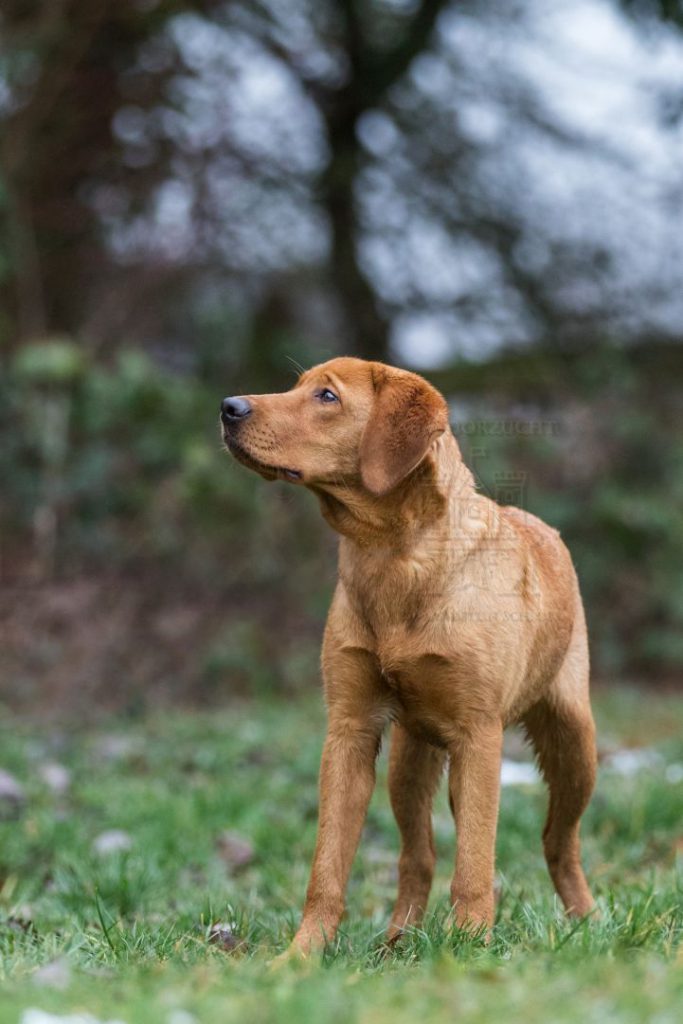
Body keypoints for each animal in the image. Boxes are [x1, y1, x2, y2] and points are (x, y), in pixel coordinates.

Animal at [222, 358, 593, 950]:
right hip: (408, 761)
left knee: (558, 840)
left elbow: (475, 865)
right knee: (417, 857)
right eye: (297, 386)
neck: (393, 557)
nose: (228, 407)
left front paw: (470, 949)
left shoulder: (478, 733)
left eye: (327, 396)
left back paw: (588, 923)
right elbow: (327, 868)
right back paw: (398, 941)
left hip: (574, 744)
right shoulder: (349, 730)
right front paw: (302, 954)